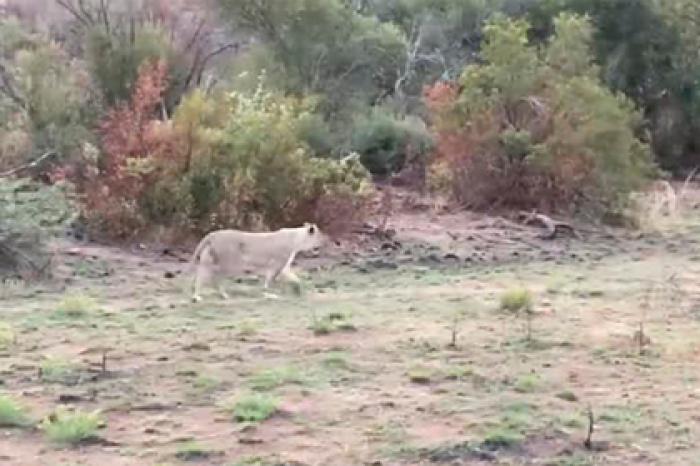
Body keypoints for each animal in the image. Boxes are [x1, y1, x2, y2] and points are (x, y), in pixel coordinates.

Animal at [189, 223, 330, 302]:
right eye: (321, 236)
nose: (327, 242)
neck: (296, 240)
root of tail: (211, 235)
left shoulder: (283, 267)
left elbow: (295, 279)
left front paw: (301, 290)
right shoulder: (277, 265)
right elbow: (270, 281)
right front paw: (268, 294)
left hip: (210, 261)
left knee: (204, 276)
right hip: (227, 262)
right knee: (211, 278)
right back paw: (203, 297)